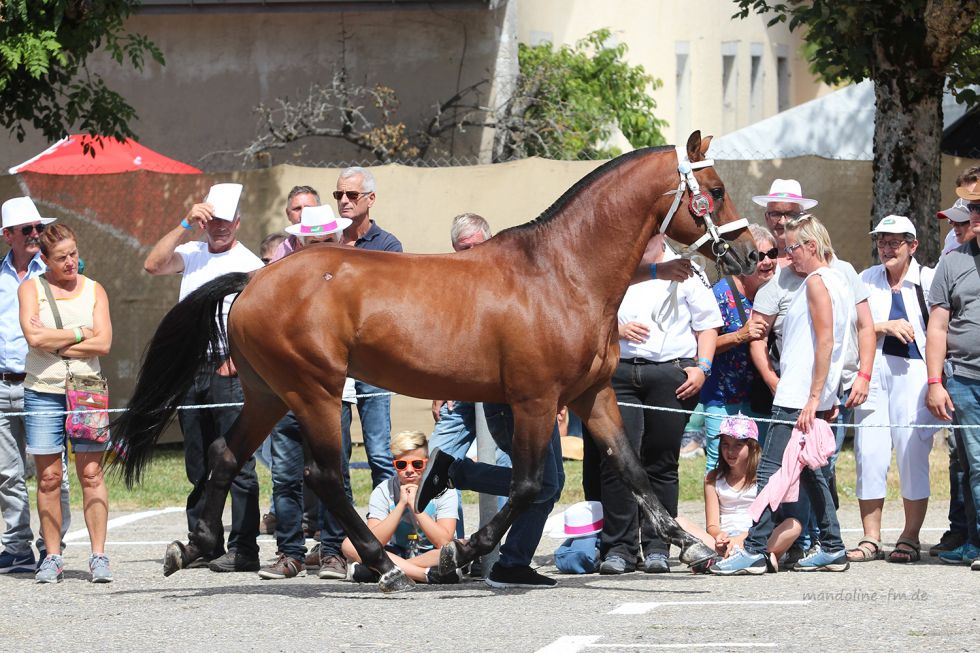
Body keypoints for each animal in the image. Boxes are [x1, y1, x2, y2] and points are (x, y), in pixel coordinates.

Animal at [111, 131, 758, 593]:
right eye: (715, 188)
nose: (751, 255)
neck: (562, 273)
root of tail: (253, 280)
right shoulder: (535, 399)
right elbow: (527, 486)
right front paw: (455, 556)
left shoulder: (591, 395)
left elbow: (633, 470)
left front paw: (693, 546)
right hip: (314, 390)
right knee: (324, 477)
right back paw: (385, 566)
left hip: (270, 394)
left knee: (226, 454)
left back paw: (193, 545)